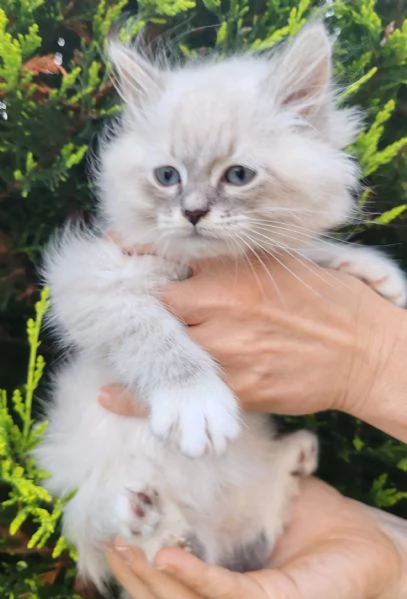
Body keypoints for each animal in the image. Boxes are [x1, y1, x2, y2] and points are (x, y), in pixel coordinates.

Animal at [34, 22, 407, 596]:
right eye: (167, 176)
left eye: (238, 175)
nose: (192, 213)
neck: (212, 263)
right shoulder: (92, 278)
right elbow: (153, 333)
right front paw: (195, 403)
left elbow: (304, 253)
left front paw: (375, 274)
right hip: (86, 485)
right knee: (115, 530)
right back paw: (148, 517)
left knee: (264, 511)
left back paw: (295, 457)